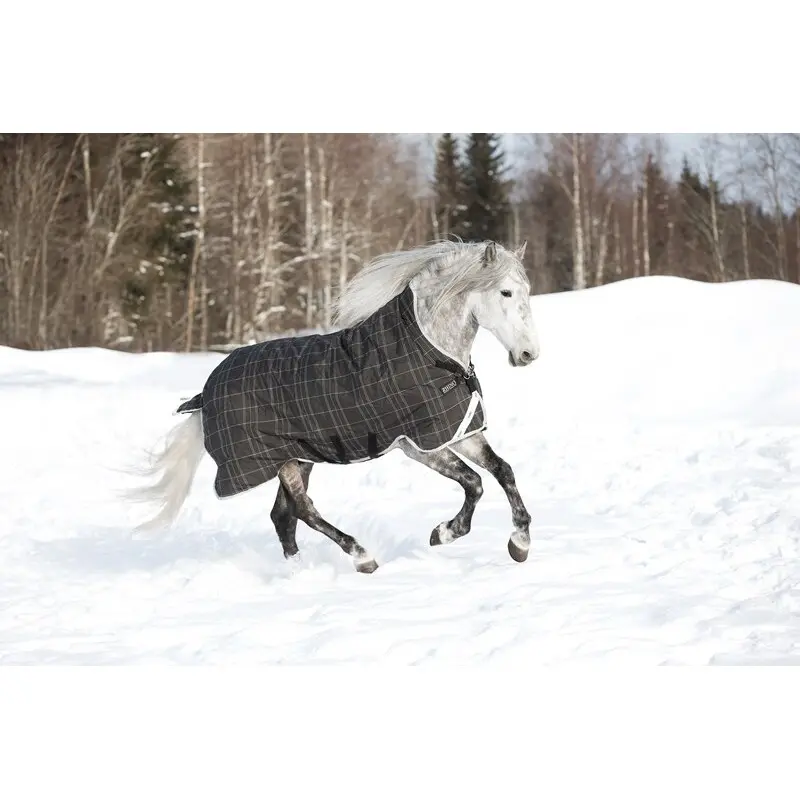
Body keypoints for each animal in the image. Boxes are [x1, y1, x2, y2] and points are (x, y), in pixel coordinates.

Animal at [127, 239, 540, 574]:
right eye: (505, 292)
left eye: (527, 291)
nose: (528, 354)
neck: (431, 351)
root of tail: (206, 391)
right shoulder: (418, 444)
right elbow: (474, 482)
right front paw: (444, 533)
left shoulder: (457, 431)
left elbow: (503, 471)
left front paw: (519, 543)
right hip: (281, 461)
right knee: (303, 510)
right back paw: (362, 557)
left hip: (297, 457)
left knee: (283, 516)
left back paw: (301, 570)